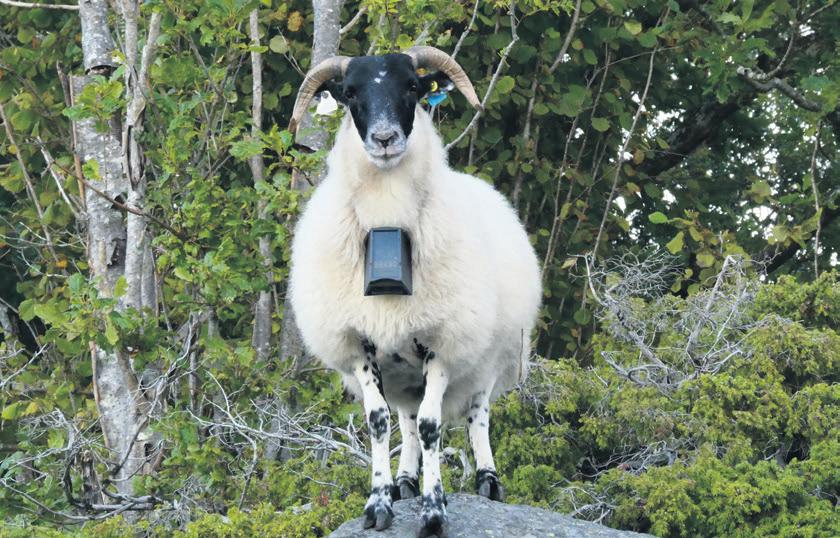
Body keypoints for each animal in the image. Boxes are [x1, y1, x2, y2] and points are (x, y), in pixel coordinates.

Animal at [287, 47, 542, 537]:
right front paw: (380, 503)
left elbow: (431, 427)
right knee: (404, 420)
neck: (387, 219)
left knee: (477, 414)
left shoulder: (442, 342)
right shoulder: (361, 344)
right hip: (402, 370)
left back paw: (487, 479)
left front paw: (434, 510)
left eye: (412, 87)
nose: (385, 139)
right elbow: (380, 423)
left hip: (490, 356)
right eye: (350, 93)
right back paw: (405, 479)